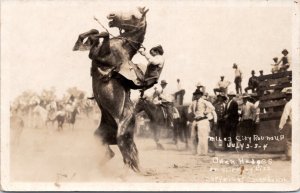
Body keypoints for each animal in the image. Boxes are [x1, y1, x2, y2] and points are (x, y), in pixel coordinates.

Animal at [72, 7, 148, 172]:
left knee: (126, 154)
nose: (111, 15)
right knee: (115, 152)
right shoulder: (95, 54)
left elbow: (103, 33)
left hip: (122, 133)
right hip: (99, 135)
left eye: (134, 16)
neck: (123, 45)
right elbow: (95, 32)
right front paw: (81, 41)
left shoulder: (102, 57)